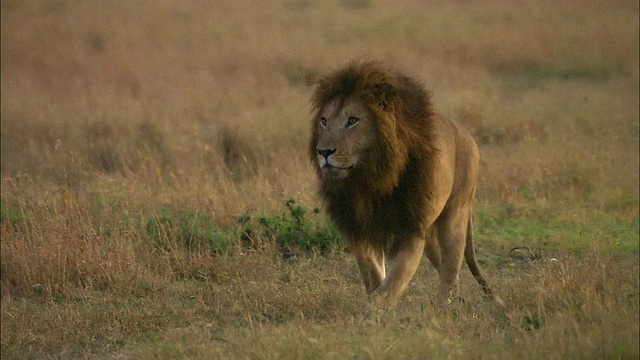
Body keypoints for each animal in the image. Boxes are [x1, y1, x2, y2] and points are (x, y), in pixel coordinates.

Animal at [310, 60, 496, 316]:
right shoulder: (362, 230)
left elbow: (396, 278)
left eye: (353, 121)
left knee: (450, 268)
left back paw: (443, 311)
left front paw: (373, 312)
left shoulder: (410, 229)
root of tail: (467, 134)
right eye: (324, 121)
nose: (324, 152)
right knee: (447, 268)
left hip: (454, 216)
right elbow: (374, 275)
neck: (368, 180)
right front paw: (377, 306)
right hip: (430, 233)